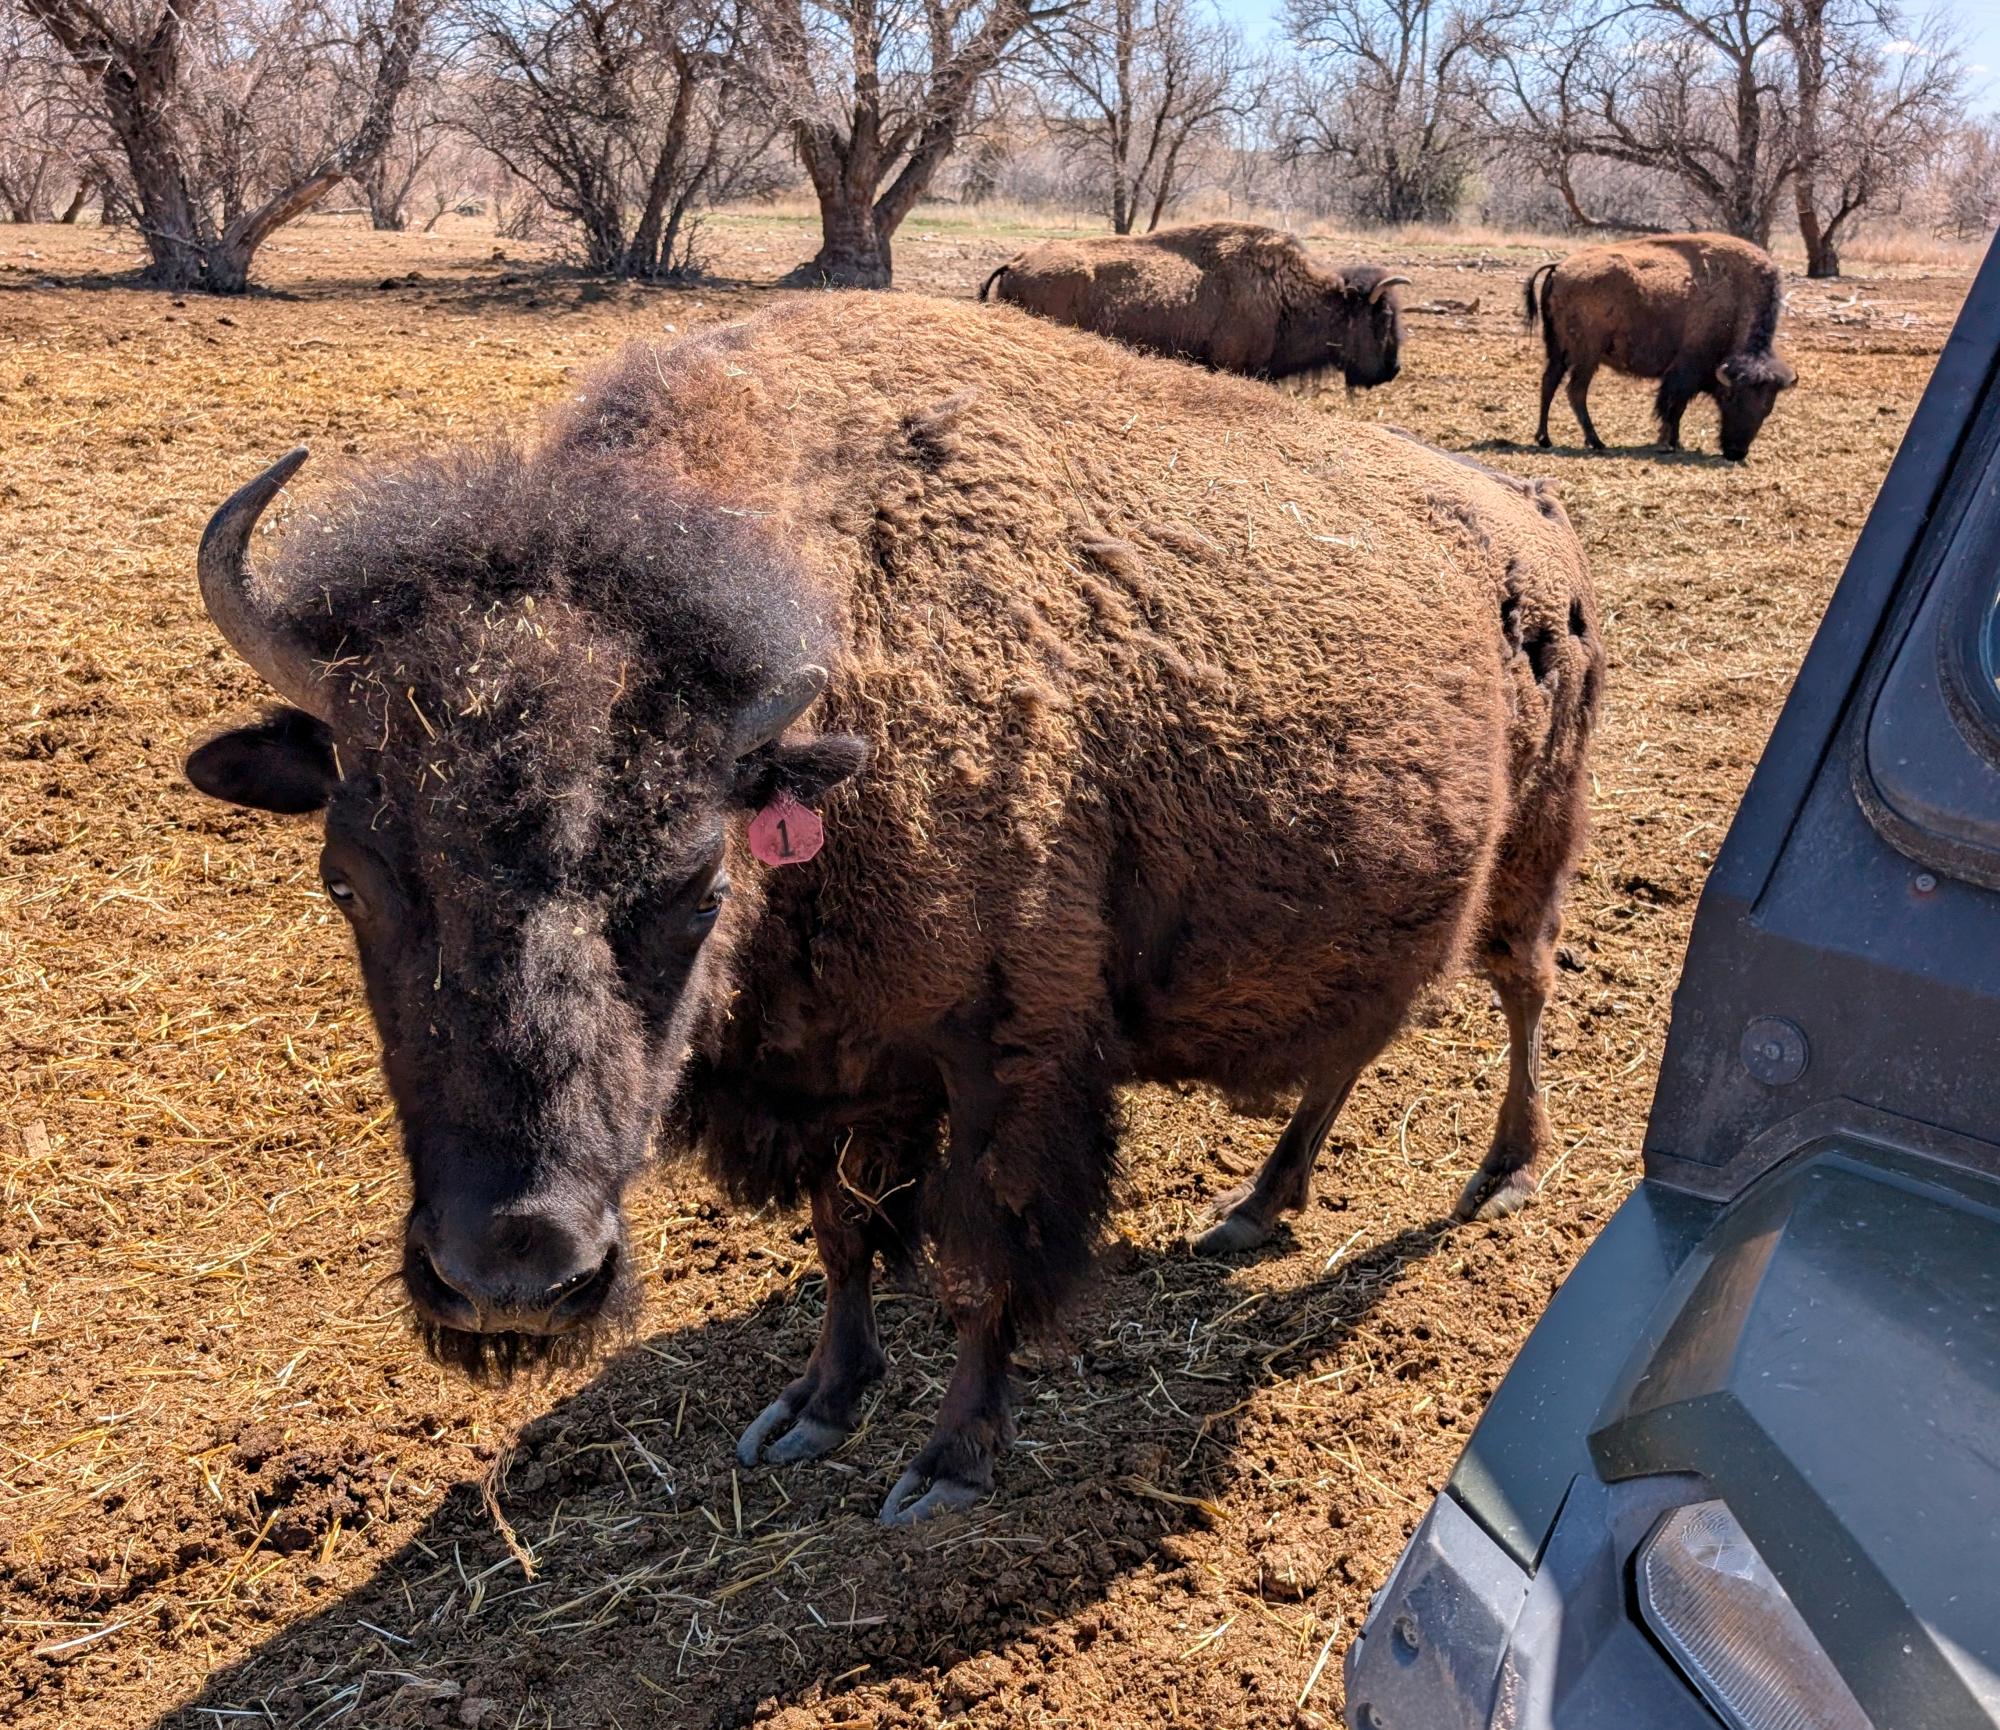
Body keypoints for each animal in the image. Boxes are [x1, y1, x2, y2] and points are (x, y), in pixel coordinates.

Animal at [184, 294, 1600, 1523]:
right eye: (347, 876)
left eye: (701, 882)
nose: (516, 1273)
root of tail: (1535, 527)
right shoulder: (846, 1065)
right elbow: (844, 1235)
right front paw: (814, 1403)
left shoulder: (1005, 1058)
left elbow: (981, 1258)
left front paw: (946, 1465)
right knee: (1353, 1042)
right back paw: (1255, 1205)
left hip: (1533, 847)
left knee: (1521, 987)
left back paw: (1503, 1175)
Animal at [1525, 231, 1796, 461]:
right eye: (1731, 398)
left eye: (1767, 406)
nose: (1736, 452)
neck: (1737, 302)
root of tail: (1560, 267)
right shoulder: (1684, 371)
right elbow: (1673, 406)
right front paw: (1669, 443)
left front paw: (1674, 442)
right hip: (1586, 355)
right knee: (1576, 390)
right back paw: (1596, 441)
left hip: (1558, 349)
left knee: (1549, 382)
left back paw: (1545, 438)